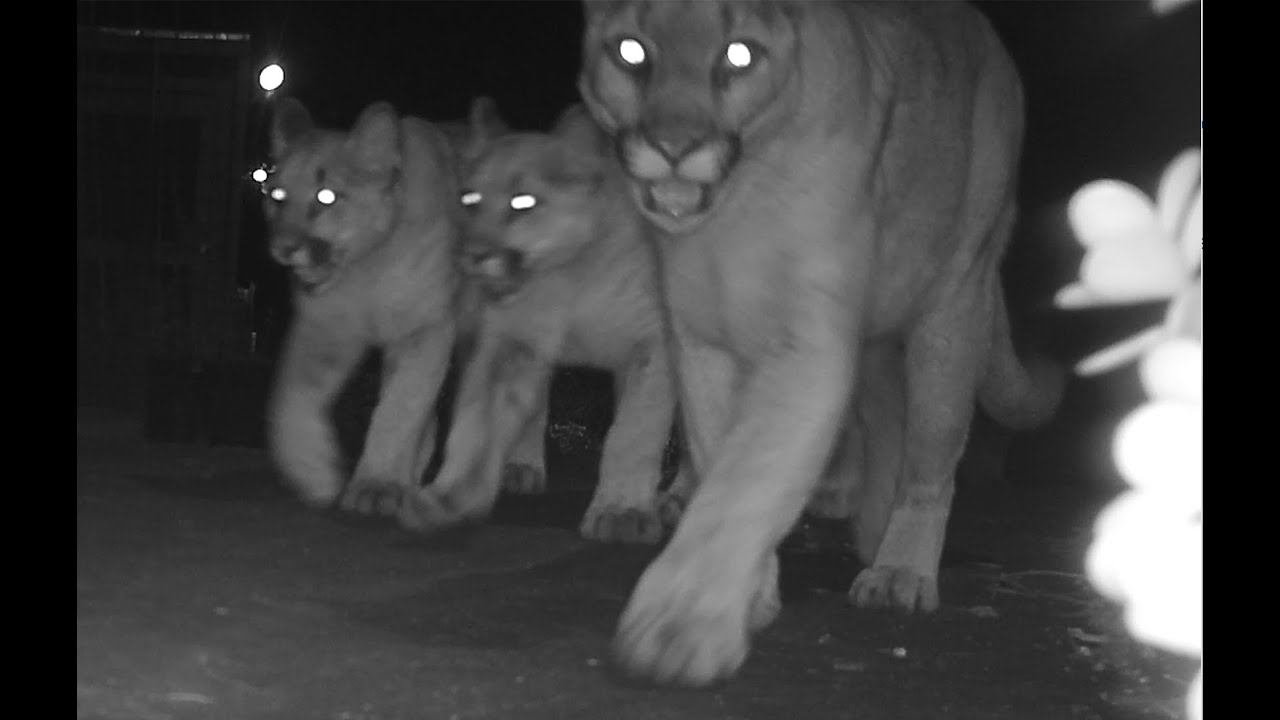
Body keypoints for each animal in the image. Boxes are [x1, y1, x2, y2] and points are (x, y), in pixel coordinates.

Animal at [263, 97, 548, 515]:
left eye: (327, 196)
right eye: (276, 196)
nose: (282, 248)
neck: (367, 268)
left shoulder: (424, 329)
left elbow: (399, 409)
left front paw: (376, 485)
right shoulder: (324, 331)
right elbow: (292, 401)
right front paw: (314, 471)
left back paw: (522, 465)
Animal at [394, 102, 689, 544]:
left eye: (523, 202)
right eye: (469, 198)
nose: (471, 255)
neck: (572, 275)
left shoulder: (653, 346)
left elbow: (634, 431)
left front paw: (622, 512)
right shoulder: (511, 343)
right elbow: (476, 424)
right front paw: (449, 496)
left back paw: (680, 498)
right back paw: (520, 466)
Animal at [577, 0, 1064, 685]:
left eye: (739, 55)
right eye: (630, 51)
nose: (675, 147)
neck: (734, 212)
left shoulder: (806, 349)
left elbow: (747, 480)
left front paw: (680, 626)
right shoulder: (701, 342)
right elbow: (722, 459)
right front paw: (747, 594)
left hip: (952, 309)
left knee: (931, 459)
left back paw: (898, 569)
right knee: (886, 416)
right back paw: (870, 525)